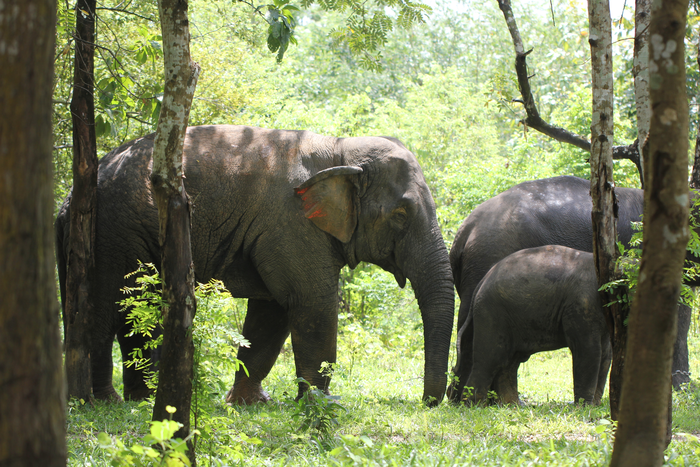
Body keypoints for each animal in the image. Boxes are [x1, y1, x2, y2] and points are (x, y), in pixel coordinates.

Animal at [55, 125, 455, 405]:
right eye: (401, 214)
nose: (429, 402)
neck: (341, 147)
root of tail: (68, 199)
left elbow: (271, 314)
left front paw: (249, 403)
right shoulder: (292, 224)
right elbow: (312, 304)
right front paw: (320, 404)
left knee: (134, 313)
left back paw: (142, 399)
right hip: (112, 233)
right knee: (106, 311)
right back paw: (106, 401)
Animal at [459, 245, 611, 406]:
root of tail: (481, 282)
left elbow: (606, 353)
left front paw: (594, 404)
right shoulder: (581, 304)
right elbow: (588, 350)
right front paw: (584, 406)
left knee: (510, 361)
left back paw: (513, 405)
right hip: (491, 313)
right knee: (490, 358)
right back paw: (473, 405)